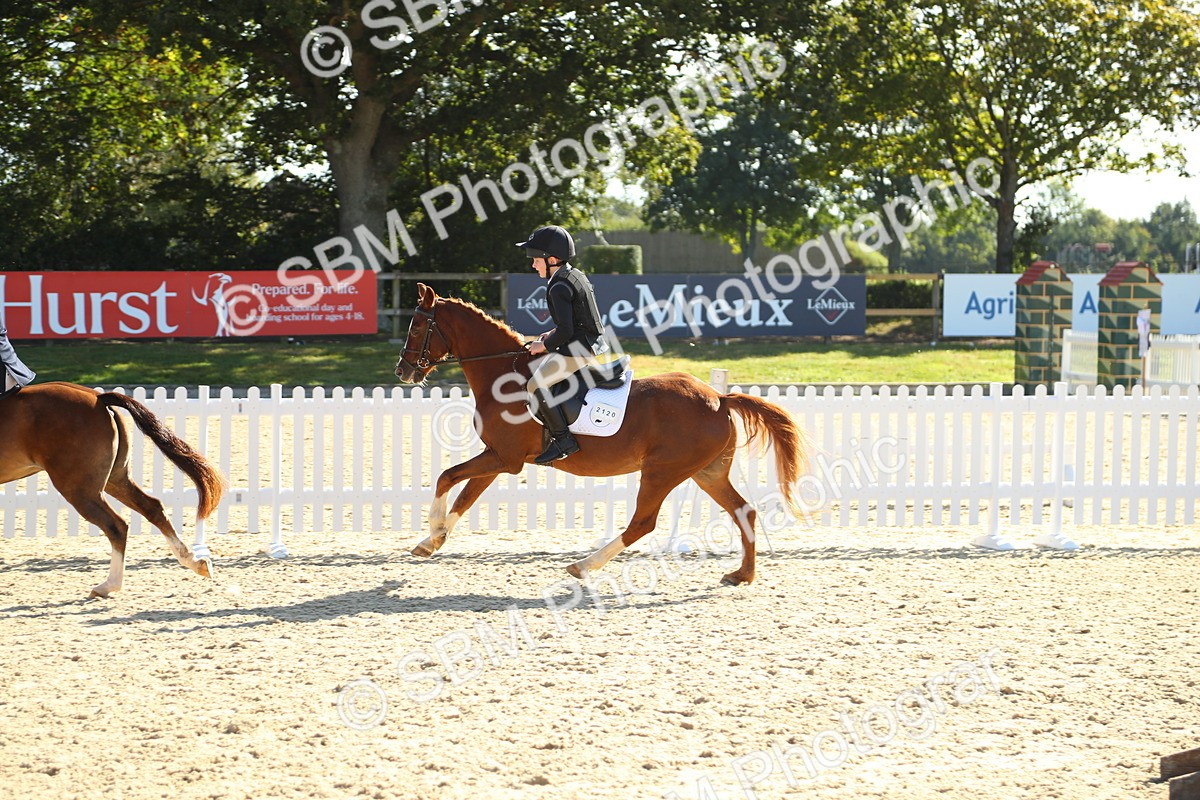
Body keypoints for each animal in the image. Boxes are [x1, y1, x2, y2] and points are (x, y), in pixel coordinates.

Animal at [0, 382, 225, 597]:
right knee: (153, 508)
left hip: (79, 489)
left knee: (116, 526)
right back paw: (196, 562)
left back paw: (108, 586)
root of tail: (99, 398)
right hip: (115, 480)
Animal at [393, 283, 813, 585]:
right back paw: (742, 575)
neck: (503, 375)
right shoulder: (498, 458)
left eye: (416, 327)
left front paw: (432, 532)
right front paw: (432, 541)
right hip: (706, 472)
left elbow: (446, 477)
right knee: (744, 510)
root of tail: (719, 398)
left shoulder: (504, 459)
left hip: (662, 472)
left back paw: (584, 566)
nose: (402, 371)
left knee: (643, 523)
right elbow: (464, 495)